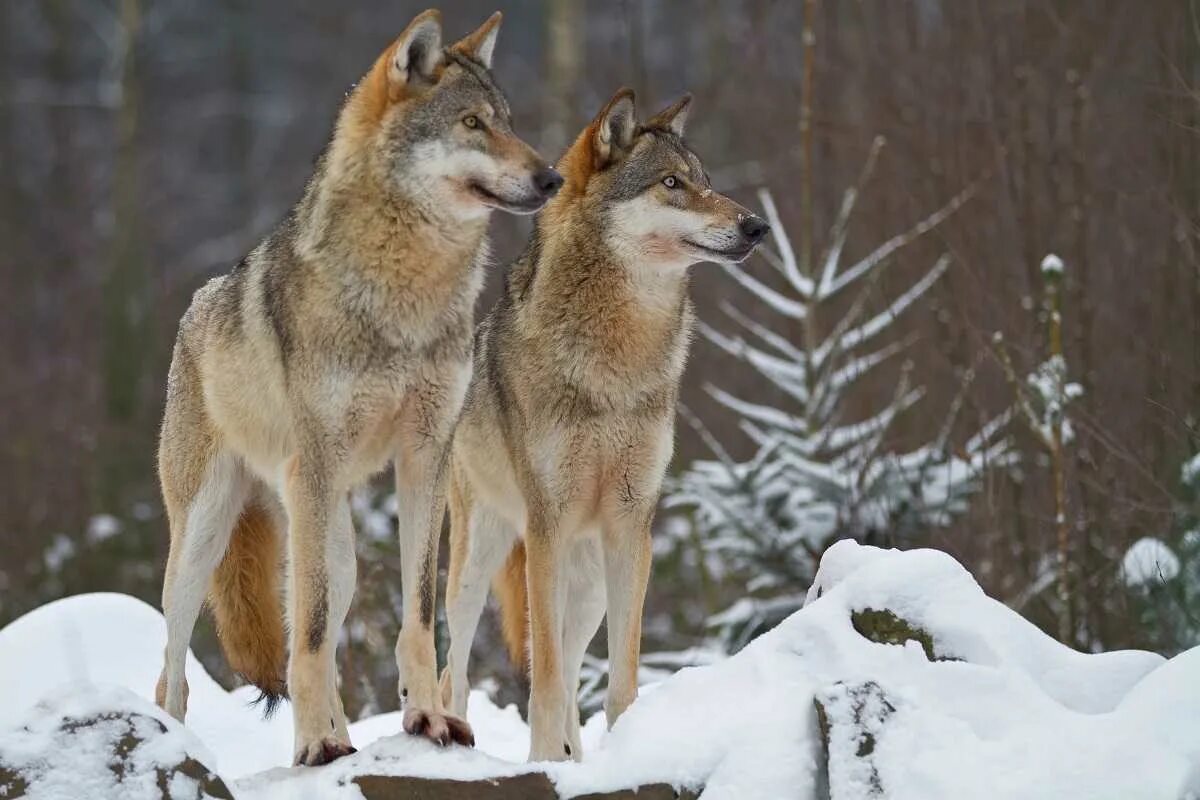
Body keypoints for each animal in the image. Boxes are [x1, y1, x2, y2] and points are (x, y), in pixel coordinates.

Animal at [151, 9, 561, 767]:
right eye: (471, 123)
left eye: (509, 122)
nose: (550, 177)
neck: (406, 291)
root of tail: (194, 308)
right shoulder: (315, 463)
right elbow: (309, 632)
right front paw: (314, 741)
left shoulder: (427, 456)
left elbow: (418, 615)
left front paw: (428, 717)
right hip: (206, 535)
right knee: (177, 666)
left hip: (331, 544)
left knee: (324, 611)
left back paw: (342, 736)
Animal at [439, 89, 768, 762]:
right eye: (671, 184)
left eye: (705, 182)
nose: (757, 226)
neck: (618, 359)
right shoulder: (546, 527)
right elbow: (543, 680)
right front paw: (542, 765)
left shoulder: (632, 526)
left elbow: (618, 678)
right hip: (480, 563)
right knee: (453, 666)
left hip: (587, 586)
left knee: (569, 671)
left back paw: (577, 758)